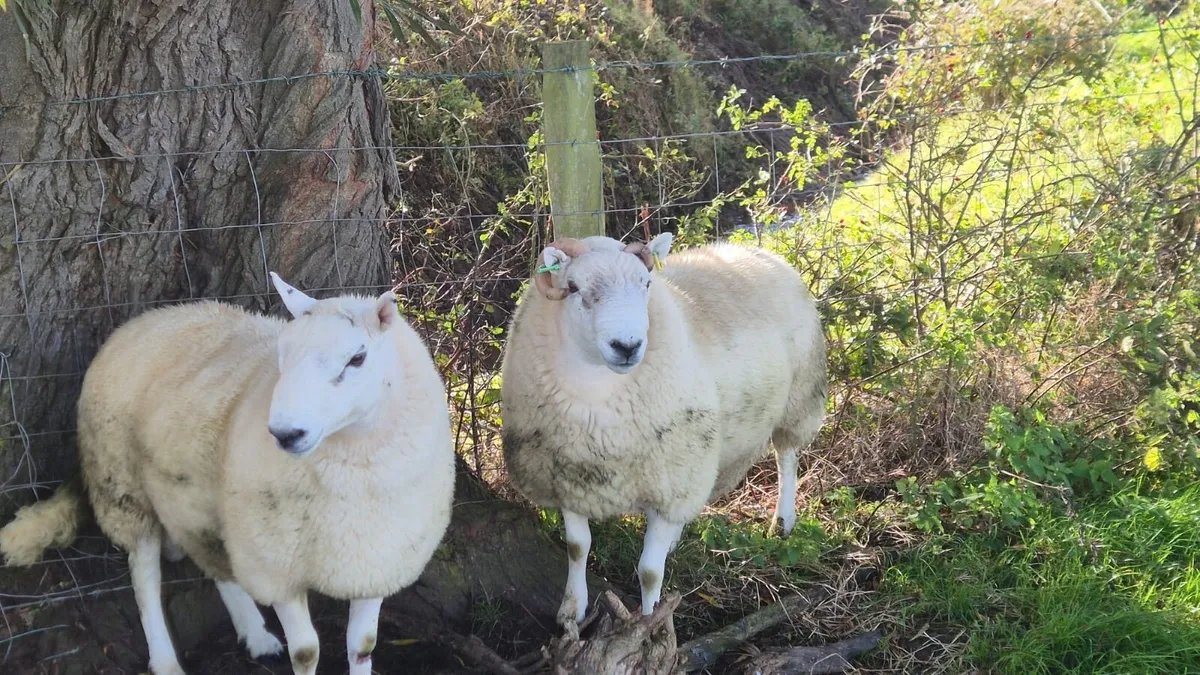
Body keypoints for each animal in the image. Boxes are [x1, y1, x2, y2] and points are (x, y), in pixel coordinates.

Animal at [0, 274, 456, 675]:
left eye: (357, 358)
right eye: (281, 355)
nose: (286, 433)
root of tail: (150, 318)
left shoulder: (377, 560)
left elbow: (362, 646)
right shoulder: (275, 565)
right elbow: (306, 652)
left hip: (195, 498)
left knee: (213, 561)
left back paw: (254, 633)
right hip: (122, 482)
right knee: (146, 574)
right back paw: (168, 659)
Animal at [500, 233, 827, 630]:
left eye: (646, 284)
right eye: (573, 287)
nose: (626, 346)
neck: (595, 399)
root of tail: (755, 250)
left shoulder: (670, 472)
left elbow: (649, 572)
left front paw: (649, 623)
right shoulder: (568, 477)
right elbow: (577, 548)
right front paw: (572, 610)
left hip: (798, 398)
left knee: (787, 457)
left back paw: (783, 520)